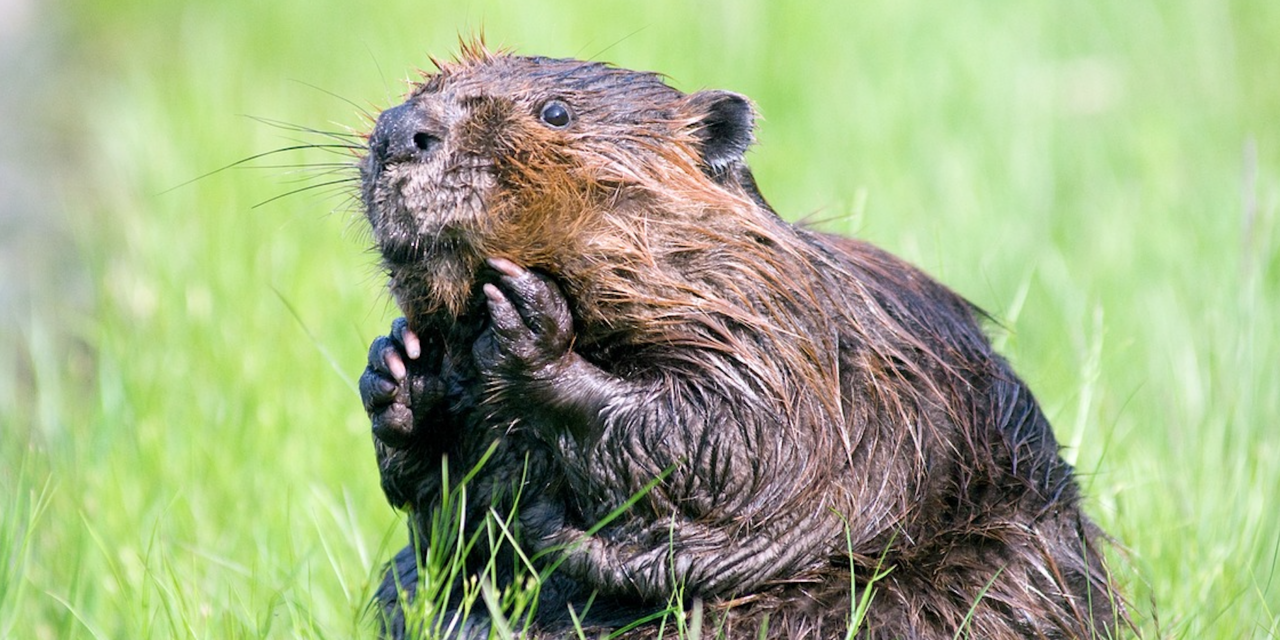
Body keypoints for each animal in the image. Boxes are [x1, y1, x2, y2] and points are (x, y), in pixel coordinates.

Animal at [353, 42, 1121, 637]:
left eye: (556, 113)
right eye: (421, 90)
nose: (401, 130)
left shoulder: (791, 335)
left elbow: (739, 437)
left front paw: (528, 326)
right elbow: (458, 525)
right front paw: (398, 370)